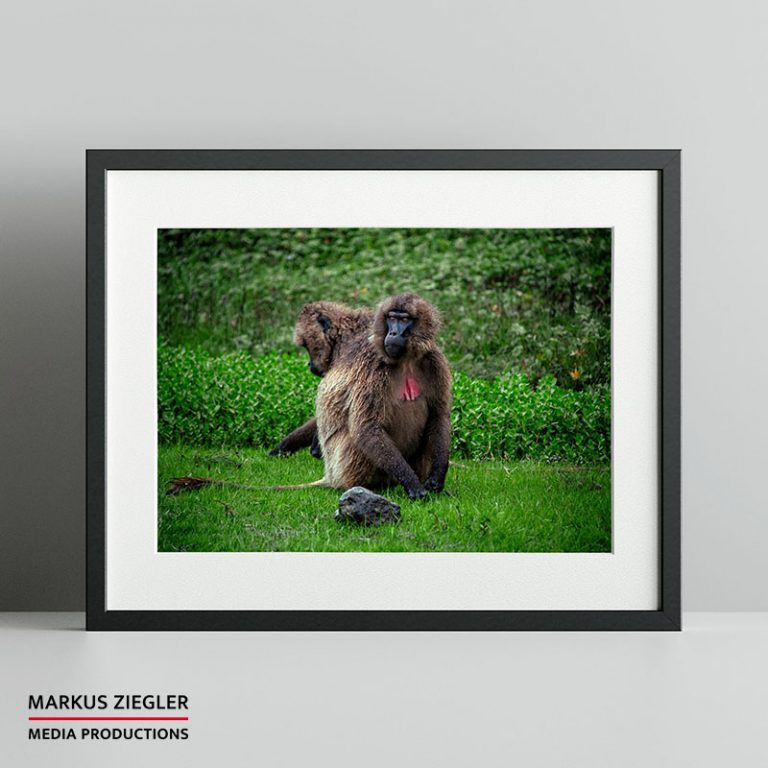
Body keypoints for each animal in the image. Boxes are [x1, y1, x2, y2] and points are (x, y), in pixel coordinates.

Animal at [313, 293, 452, 499]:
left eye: (404, 319)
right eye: (391, 318)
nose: (393, 333)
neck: (406, 360)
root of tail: (329, 476)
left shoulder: (434, 360)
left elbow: (439, 416)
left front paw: (437, 478)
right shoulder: (374, 366)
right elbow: (367, 427)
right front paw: (412, 484)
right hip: (342, 468)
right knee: (359, 437)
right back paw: (366, 488)